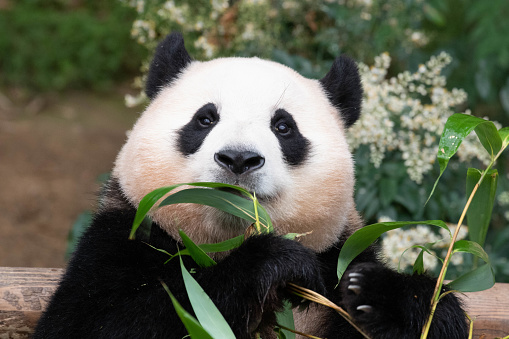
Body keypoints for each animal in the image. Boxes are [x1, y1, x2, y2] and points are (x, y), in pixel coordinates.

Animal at [33, 32, 466, 339]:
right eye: (205, 119)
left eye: (283, 127)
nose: (238, 159)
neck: (227, 239)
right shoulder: (125, 234)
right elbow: (107, 321)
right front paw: (276, 260)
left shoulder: (340, 255)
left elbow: (429, 315)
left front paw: (381, 298)